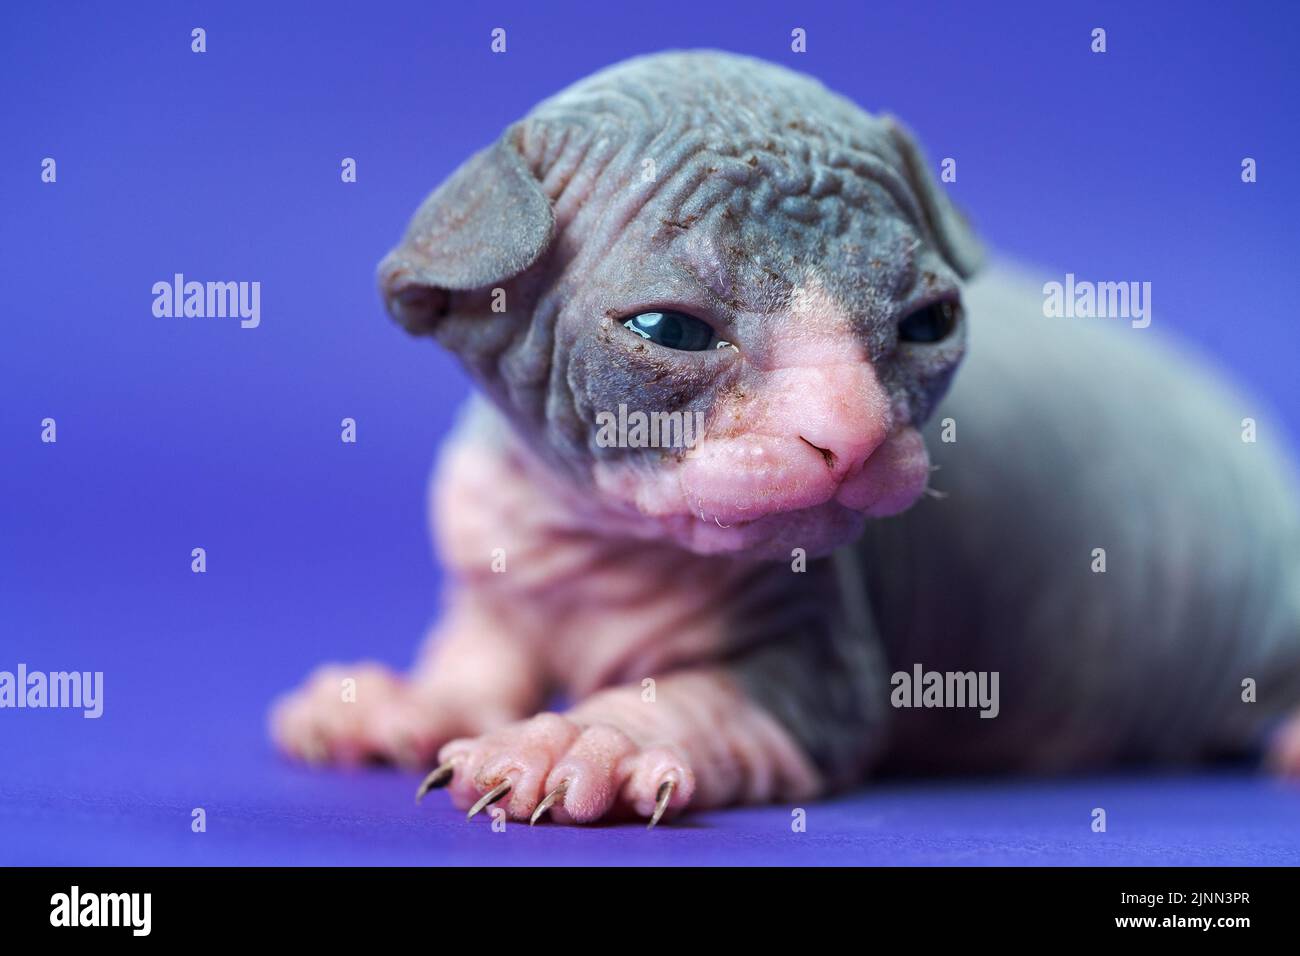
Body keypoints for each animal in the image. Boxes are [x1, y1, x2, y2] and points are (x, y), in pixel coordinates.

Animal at [266, 52, 1300, 827]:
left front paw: (582, 741)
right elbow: (477, 658)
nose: (852, 435)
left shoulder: (820, 663)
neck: (591, 537)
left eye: (930, 322)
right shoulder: (493, 554)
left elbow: (713, 702)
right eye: (671, 331)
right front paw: (403, 703)